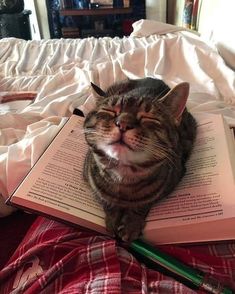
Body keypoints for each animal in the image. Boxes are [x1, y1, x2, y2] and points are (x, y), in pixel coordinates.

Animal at [82, 77, 196, 242]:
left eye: (148, 118)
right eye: (110, 111)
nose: (123, 123)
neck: (122, 177)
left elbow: (142, 206)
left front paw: (131, 225)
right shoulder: (90, 180)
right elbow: (106, 201)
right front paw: (112, 220)